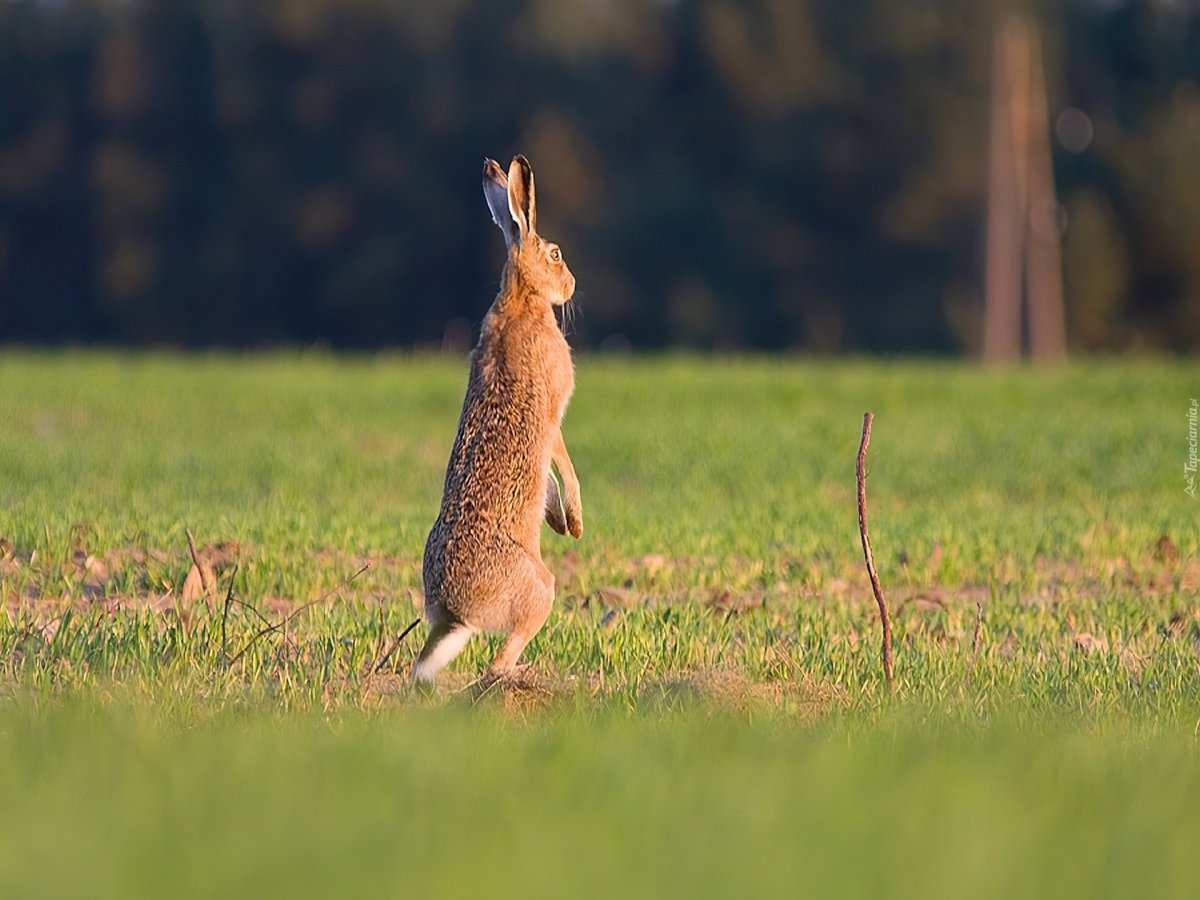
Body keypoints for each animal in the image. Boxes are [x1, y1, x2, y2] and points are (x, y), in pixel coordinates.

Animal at [412, 155, 583, 684]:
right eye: (555, 254)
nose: (571, 285)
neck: (521, 299)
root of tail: (457, 613)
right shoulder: (554, 412)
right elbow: (563, 461)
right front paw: (575, 521)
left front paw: (559, 520)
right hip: (539, 590)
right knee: (499, 659)